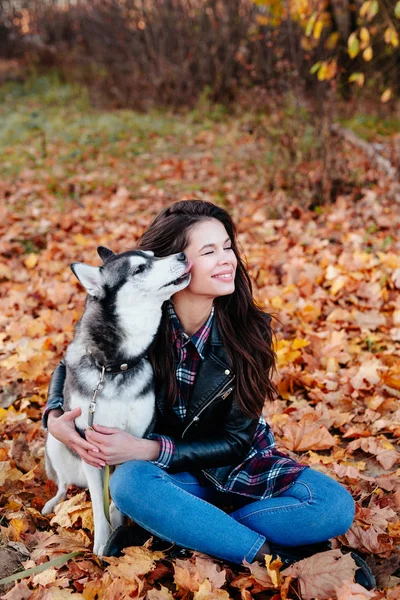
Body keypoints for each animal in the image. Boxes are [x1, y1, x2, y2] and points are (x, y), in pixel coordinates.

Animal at [43, 246, 192, 556]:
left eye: (154, 254)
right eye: (139, 269)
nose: (183, 255)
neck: (113, 366)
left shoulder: (132, 440)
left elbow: (115, 497)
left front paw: (118, 526)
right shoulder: (90, 445)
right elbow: (98, 505)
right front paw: (102, 540)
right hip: (55, 442)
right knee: (63, 484)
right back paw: (53, 503)